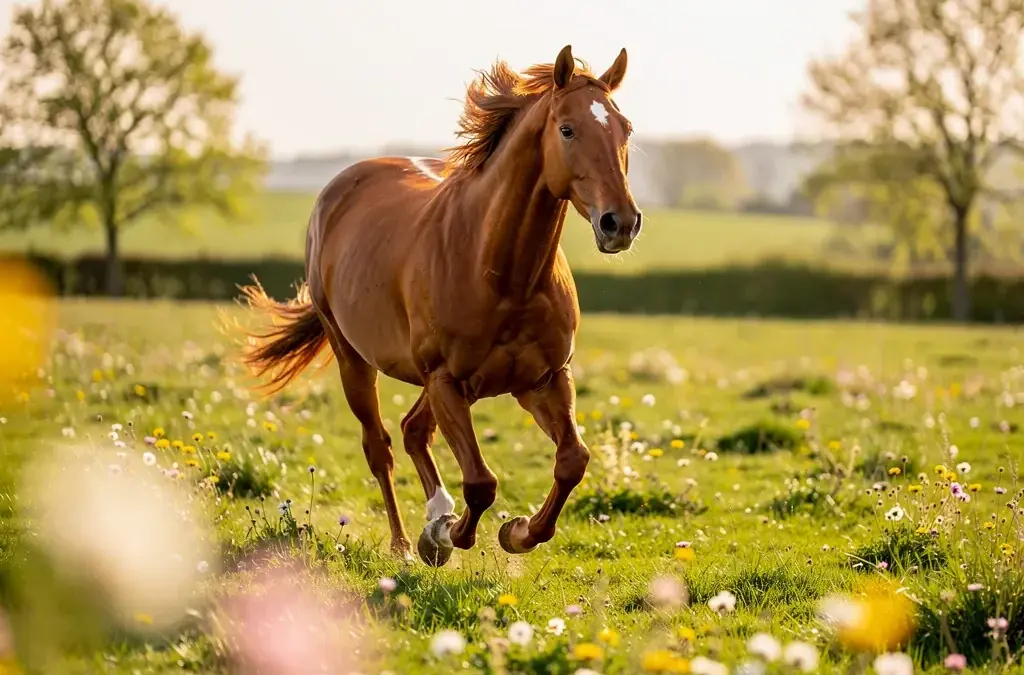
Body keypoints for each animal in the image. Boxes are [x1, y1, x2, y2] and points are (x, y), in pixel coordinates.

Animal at [238, 45, 641, 567]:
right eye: (568, 129)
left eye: (625, 128)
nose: (621, 223)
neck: (502, 273)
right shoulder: (446, 380)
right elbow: (481, 482)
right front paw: (446, 536)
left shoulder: (544, 379)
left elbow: (573, 460)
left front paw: (517, 532)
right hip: (356, 361)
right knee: (381, 447)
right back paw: (405, 545)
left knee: (413, 429)